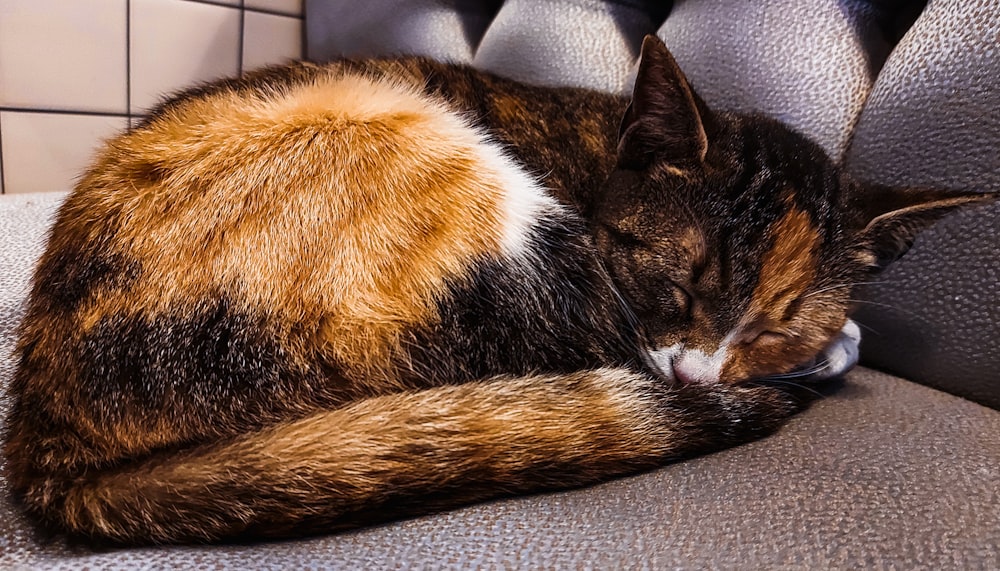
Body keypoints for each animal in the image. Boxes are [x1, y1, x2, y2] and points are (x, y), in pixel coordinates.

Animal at [1, 35, 992, 544]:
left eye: (773, 328)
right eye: (675, 281)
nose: (701, 376)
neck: (598, 148)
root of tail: (50, 444)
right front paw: (835, 352)